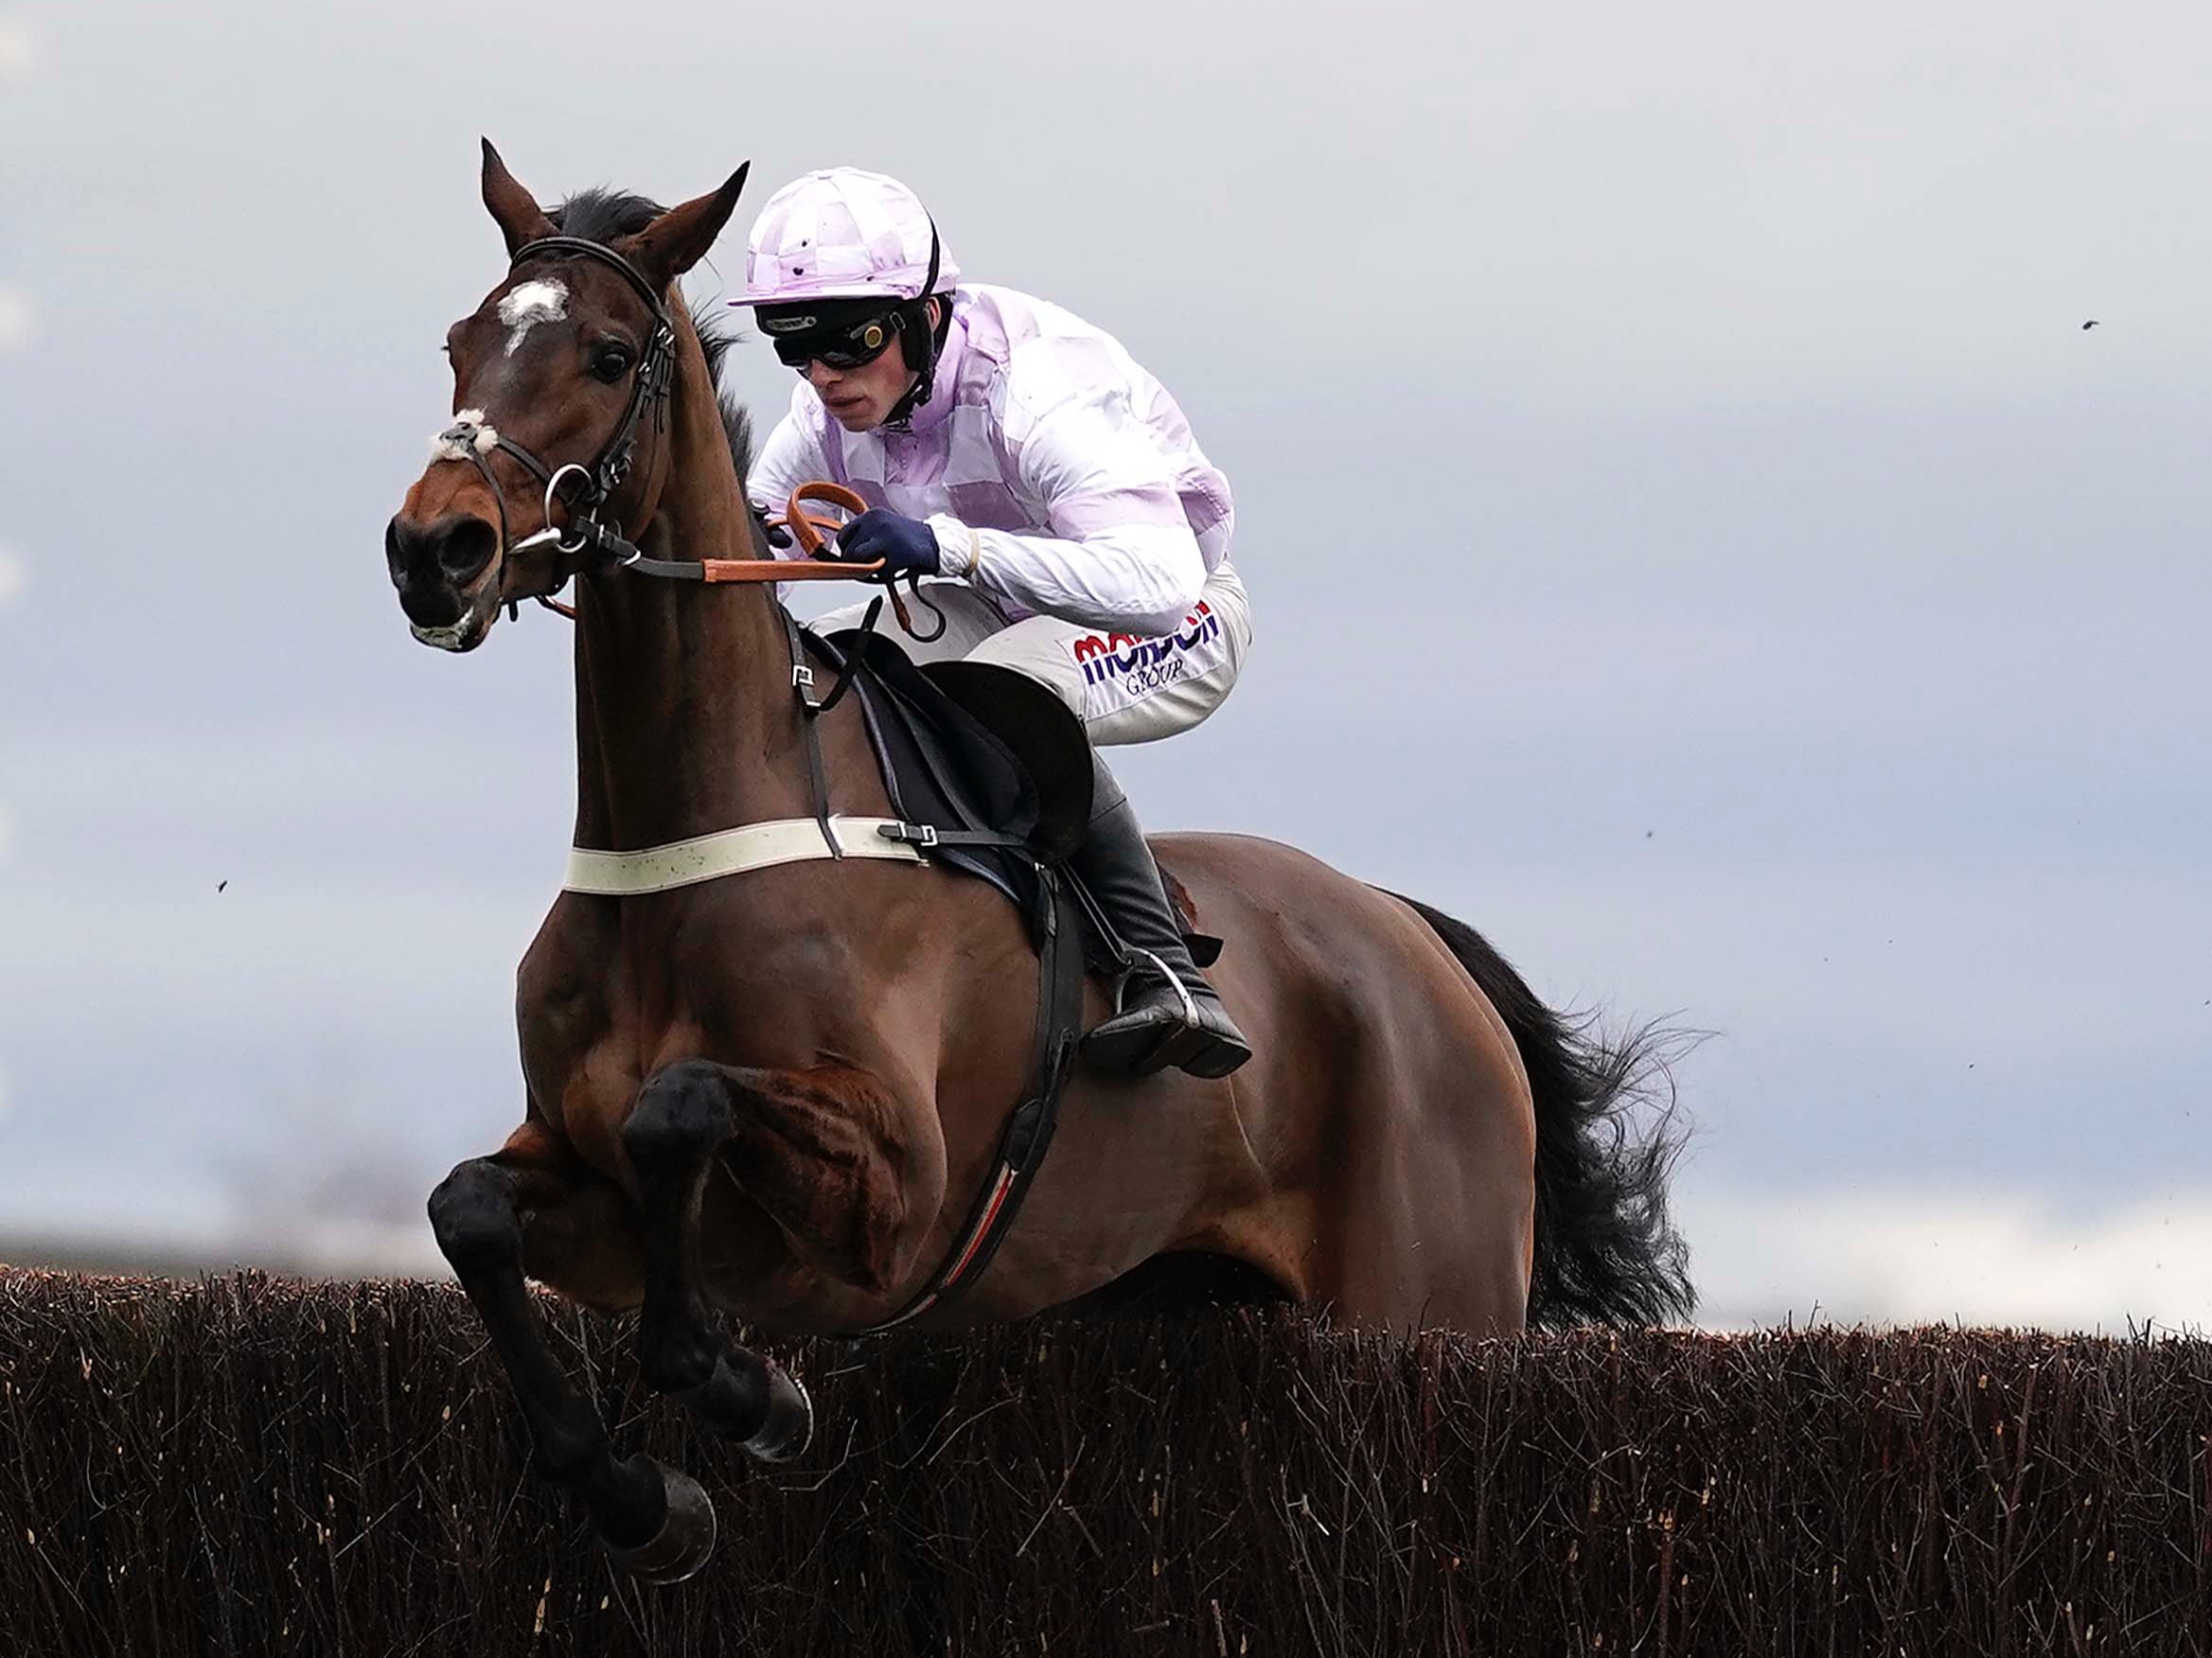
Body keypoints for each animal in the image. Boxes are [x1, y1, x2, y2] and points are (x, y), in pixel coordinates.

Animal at [380, 149, 1690, 1591]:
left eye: (609, 357)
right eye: (461, 342)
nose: (433, 550)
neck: (704, 838)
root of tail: (1412, 939)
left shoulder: (893, 1197)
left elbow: (683, 1107)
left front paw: (750, 1393)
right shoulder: (590, 1184)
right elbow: (469, 1209)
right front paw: (633, 1488)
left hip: (1430, 1310)